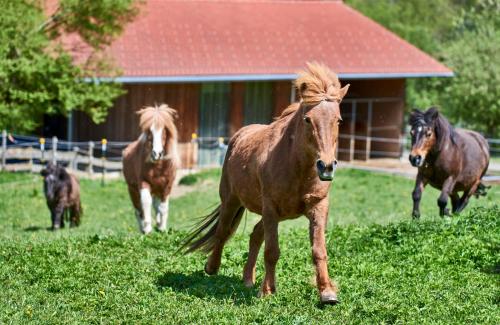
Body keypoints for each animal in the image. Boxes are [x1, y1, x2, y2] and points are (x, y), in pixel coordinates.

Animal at [122, 104, 179, 233]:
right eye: (149, 131)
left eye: (164, 130)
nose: (156, 153)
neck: (158, 167)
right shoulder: (143, 183)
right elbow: (146, 203)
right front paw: (148, 229)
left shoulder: (167, 186)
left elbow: (163, 207)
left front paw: (162, 228)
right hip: (132, 190)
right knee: (138, 211)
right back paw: (143, 229)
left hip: (156, 190)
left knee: (156, 206)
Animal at [180, 63, 348, 304]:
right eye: (308, 119)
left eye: (338, 120)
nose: (326, 166)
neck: (295, 166)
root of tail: (238, 136)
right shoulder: (270, 208)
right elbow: (272, 251)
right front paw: (267, 291)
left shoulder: (318, 207)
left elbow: (318, 250)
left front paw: (327, 292)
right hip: (232, 201)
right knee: (223, 232)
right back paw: (212, 267)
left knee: (255, 235)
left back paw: (248, 279)